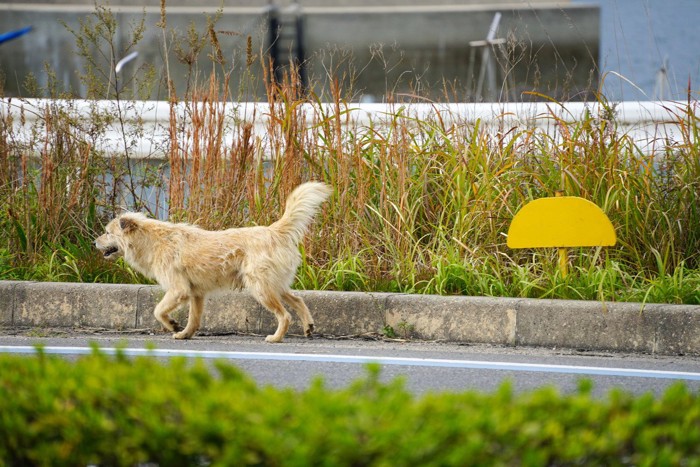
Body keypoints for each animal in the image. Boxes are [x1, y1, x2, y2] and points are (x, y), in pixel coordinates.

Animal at [94, 184, 332, 344]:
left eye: (107, 233)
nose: (93, 241)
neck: (152, 239)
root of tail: (274, 230)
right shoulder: (196, 294)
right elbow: (194, 319)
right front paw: (184, 334)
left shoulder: (178, 290)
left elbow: (158, 311)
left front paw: (172, 324)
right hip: (274, 285)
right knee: (298, 300)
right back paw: (308, 326)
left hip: (260, 287)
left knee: (285, 315)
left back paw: (276, 337)